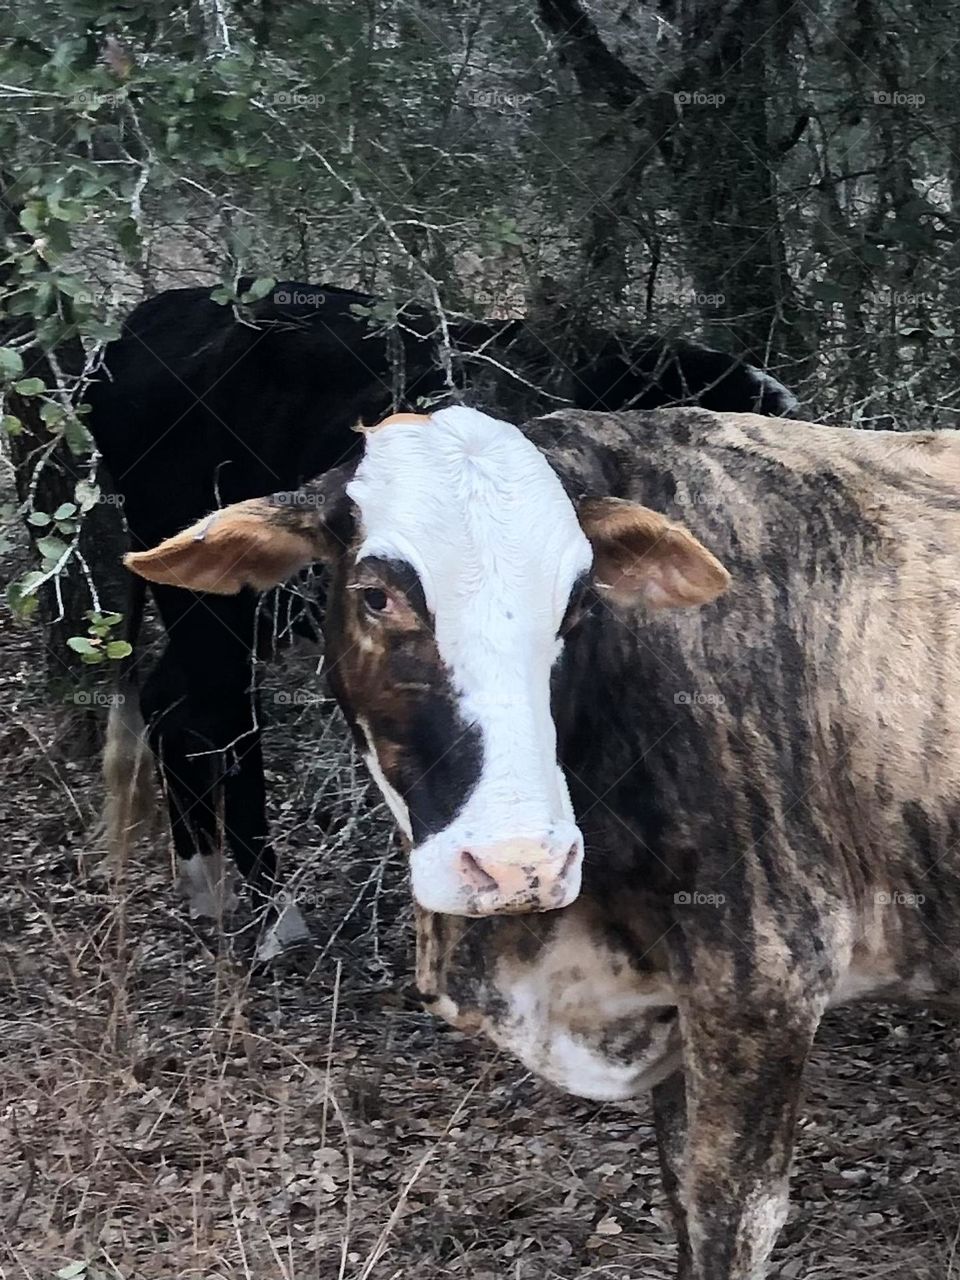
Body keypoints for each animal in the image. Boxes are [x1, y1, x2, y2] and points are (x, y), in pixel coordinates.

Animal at [90, 282, 798, 962]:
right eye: (377, 596)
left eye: (576, 599)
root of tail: (152, 317)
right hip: (213, 611)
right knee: (222, 724)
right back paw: (273, 919)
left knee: (167, 703)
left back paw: (204, 884)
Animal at [124, 407, 960, 1280]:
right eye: (376, 596)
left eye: (579, 603)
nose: (517, 862)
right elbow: (680, 1197)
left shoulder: (766, 981)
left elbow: (728, 1216)